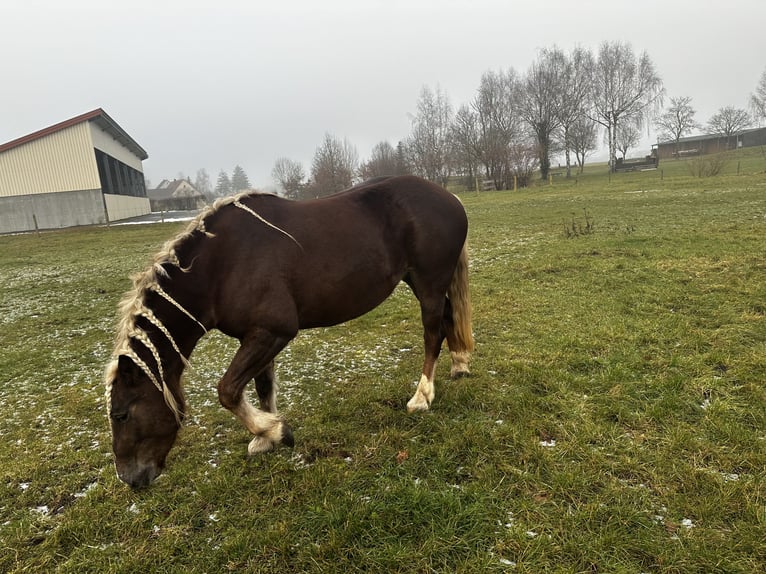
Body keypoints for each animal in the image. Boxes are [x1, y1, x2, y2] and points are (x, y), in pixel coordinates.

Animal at [103, 176, 474, 490]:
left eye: (121, 414)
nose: (129, 479)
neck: (220, 265)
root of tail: (449, 197)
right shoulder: (256, 335)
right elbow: (260, 386)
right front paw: (266, 435)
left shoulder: (274, 331)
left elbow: (228, 390)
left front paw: (275, 431)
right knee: (447, 319)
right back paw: (459, 365)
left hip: (429, 283)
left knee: (433, 332)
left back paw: (422, 397)